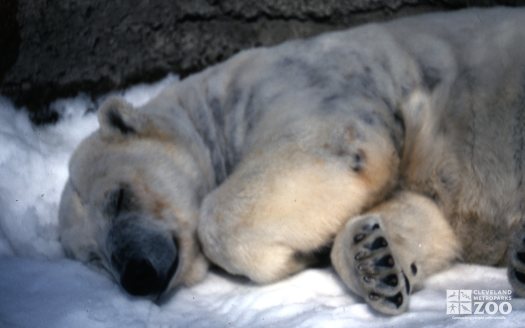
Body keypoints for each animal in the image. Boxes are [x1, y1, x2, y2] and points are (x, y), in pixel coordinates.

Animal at [58, 8, 524, 316]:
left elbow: (325, 145)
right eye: (94, 258)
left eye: (120, 197)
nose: (135, 274)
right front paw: (374, 258)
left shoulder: (302, 82)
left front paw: (290, 258)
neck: (214, 105)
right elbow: (422, 214)